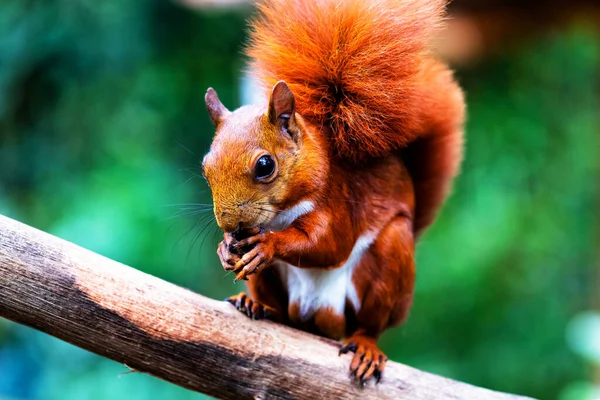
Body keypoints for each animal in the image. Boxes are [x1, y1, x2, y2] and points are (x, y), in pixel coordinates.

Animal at [202, 0, 464, 384]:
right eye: (205, 166)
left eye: (265, 165)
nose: (231, 225)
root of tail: (318, 315)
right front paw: (224, 247)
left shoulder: (339, 201)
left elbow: (328, 243)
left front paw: (268, 244)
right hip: (273, 285)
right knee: (280, 312)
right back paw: (256, 304)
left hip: (387, 267)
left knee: (369, 324)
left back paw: (366, 346)